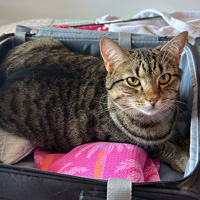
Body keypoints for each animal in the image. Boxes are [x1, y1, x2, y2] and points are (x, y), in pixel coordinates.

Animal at [0, 32, 189, 173]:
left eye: (164, 78)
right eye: (133, 81)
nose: (153, 99)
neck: (159, 120)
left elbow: (177, 136)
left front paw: (187, 143)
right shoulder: (132, 143)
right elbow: (164, 148)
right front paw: (184, 159)